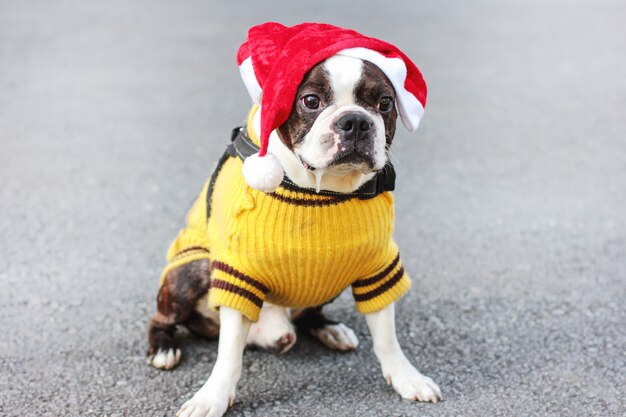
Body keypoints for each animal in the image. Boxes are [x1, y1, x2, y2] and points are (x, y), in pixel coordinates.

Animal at [145, 22, 438, 416]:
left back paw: (330, 328)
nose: (356, 121)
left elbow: (387, 335)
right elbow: (229, 356)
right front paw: (212, 397)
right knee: (163, 318)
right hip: (191, 271)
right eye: (311, 101)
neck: (322, 190)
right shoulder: (237, 271)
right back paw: (163, 347)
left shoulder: (378, 264)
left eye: (385, 103)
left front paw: (407, 378)